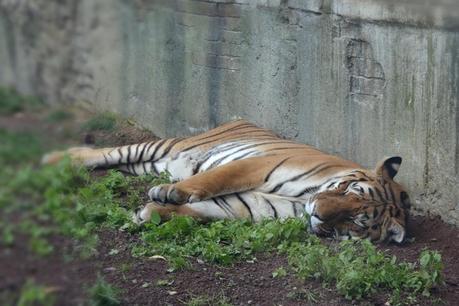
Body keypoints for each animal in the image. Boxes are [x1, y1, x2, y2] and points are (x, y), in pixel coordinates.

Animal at [41, 119, 412, 244]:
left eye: (356, 220)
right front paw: (169, 195)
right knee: (105, 152)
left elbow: (208, 209)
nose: (317, 212)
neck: (301, 201)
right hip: (161, 146)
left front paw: (150, 212)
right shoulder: (260, 164)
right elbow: (216, 177)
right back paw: (53, 160)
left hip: (150, 163)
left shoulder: (255, 206)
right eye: (347, 189)